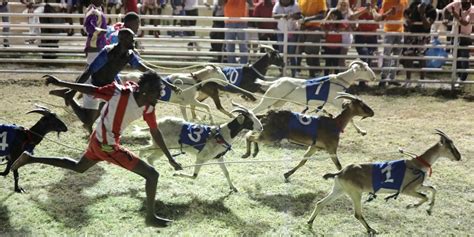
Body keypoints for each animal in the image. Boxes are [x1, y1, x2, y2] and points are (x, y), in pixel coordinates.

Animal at [244, 92, 374, 180]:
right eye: (362, 104)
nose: (372, 112)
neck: (335, 123)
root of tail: (269, 114)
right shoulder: (331, 148)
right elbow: (338, 165)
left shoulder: (314, 147)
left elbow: (303, 160)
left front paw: (287, 174)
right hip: (270, 136)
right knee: (250, 137)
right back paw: (248, 153)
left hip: (266, 132)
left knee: (250, 134)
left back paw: (254, 151)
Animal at [308, 130, 462, 235]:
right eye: (450, 147)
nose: (459, 157)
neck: (417, 165)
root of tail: (340, 172)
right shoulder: (407, 190)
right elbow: (425, 196)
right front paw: (411, 206)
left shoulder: (418, 186)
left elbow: (432, 188)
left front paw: (429, 209)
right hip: (355, 193)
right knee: (357, 214)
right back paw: (372, 230)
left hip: (339, 190)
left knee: (320, 203)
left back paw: (310, 223)